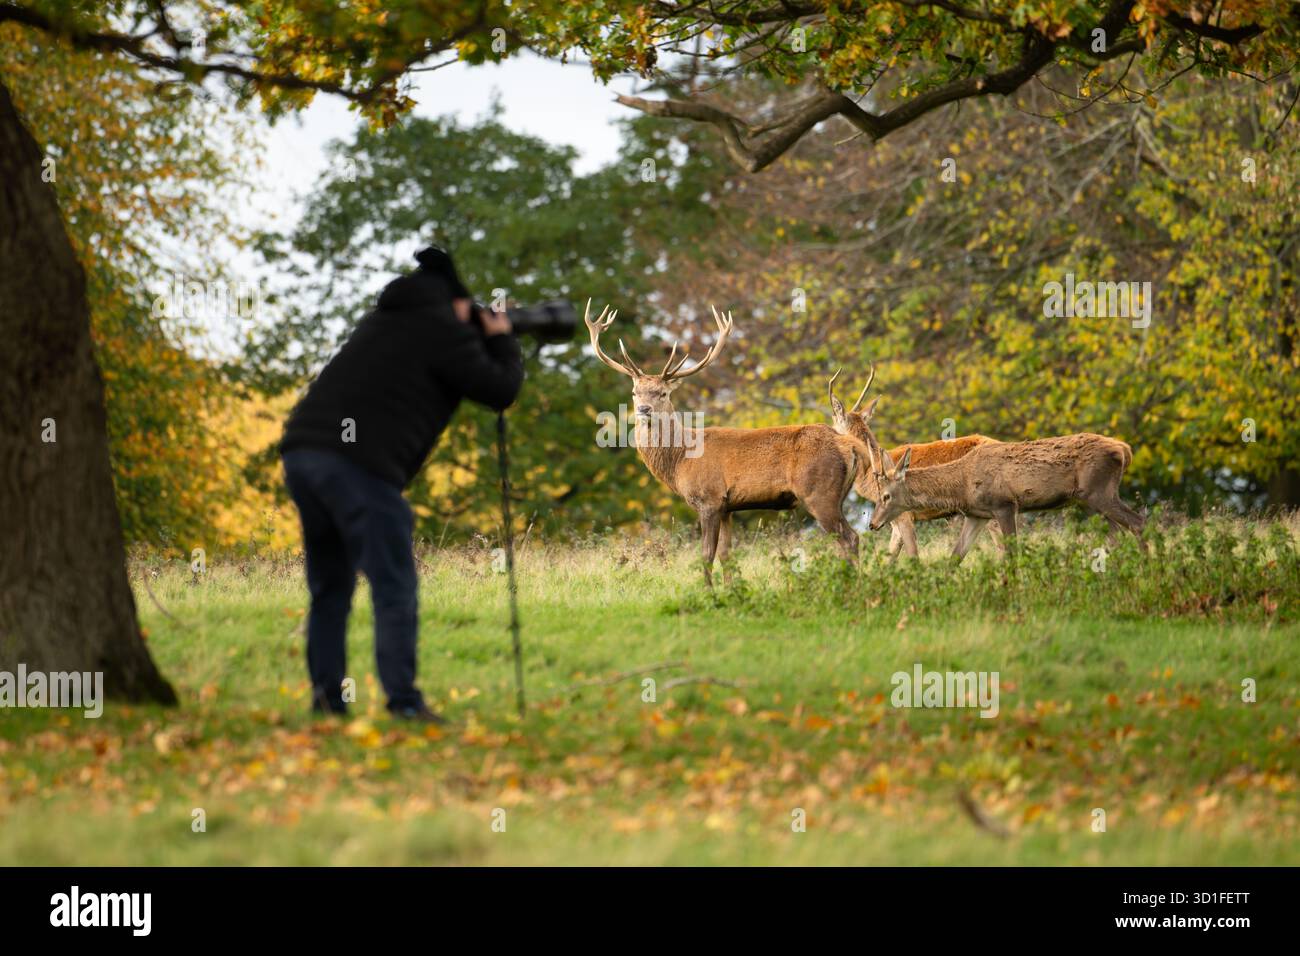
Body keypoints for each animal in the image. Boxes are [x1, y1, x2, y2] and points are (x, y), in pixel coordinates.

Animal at [585, 301, 871, 585]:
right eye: (635, 392)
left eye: (663, 393)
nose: (643, 409)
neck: (680, 459)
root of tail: (850, 445)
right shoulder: (727, 507)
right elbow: (726, 554)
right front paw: (731, 589)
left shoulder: (708, 498)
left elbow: (706, 555)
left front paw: (709, 591)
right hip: (837, 494)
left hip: (818, 491)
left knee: (849, 538)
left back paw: (855, 584)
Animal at [864, 432, 1146, 562]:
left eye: (885, 496)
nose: (872, 524)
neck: (962, 485)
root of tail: (1124, 449)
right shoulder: (976, 515)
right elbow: (955, 556)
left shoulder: (1005, 504)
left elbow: (1011, 552)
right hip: (1089, 502)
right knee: (1115, 535)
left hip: (1100, 492)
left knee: (1137, 522)